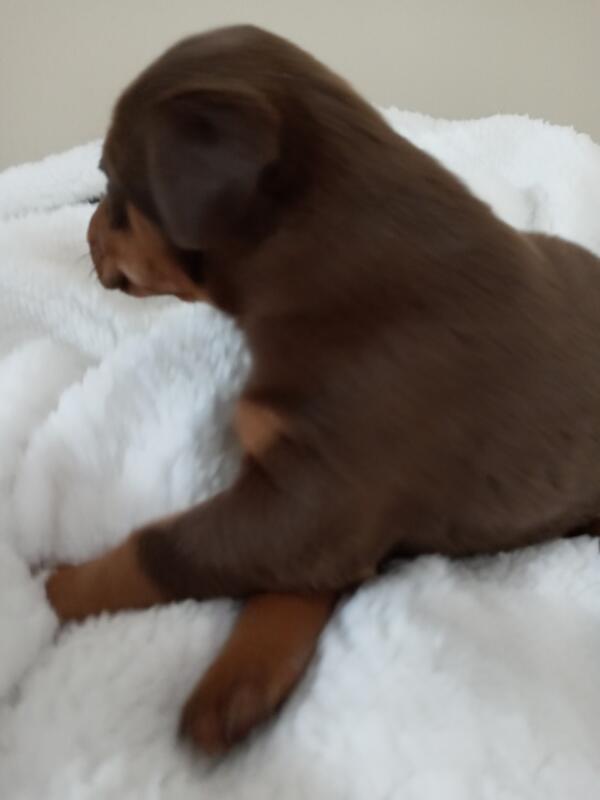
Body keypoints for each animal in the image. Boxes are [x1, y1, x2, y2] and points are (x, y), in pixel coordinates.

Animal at [46, 25, 600, 755]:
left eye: (111, 184)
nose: (83, 226)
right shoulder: (317, 513)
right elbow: (291, 584)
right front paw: (243, 679)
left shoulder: (316, 500)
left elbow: (162, 549)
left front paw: (54, 588)